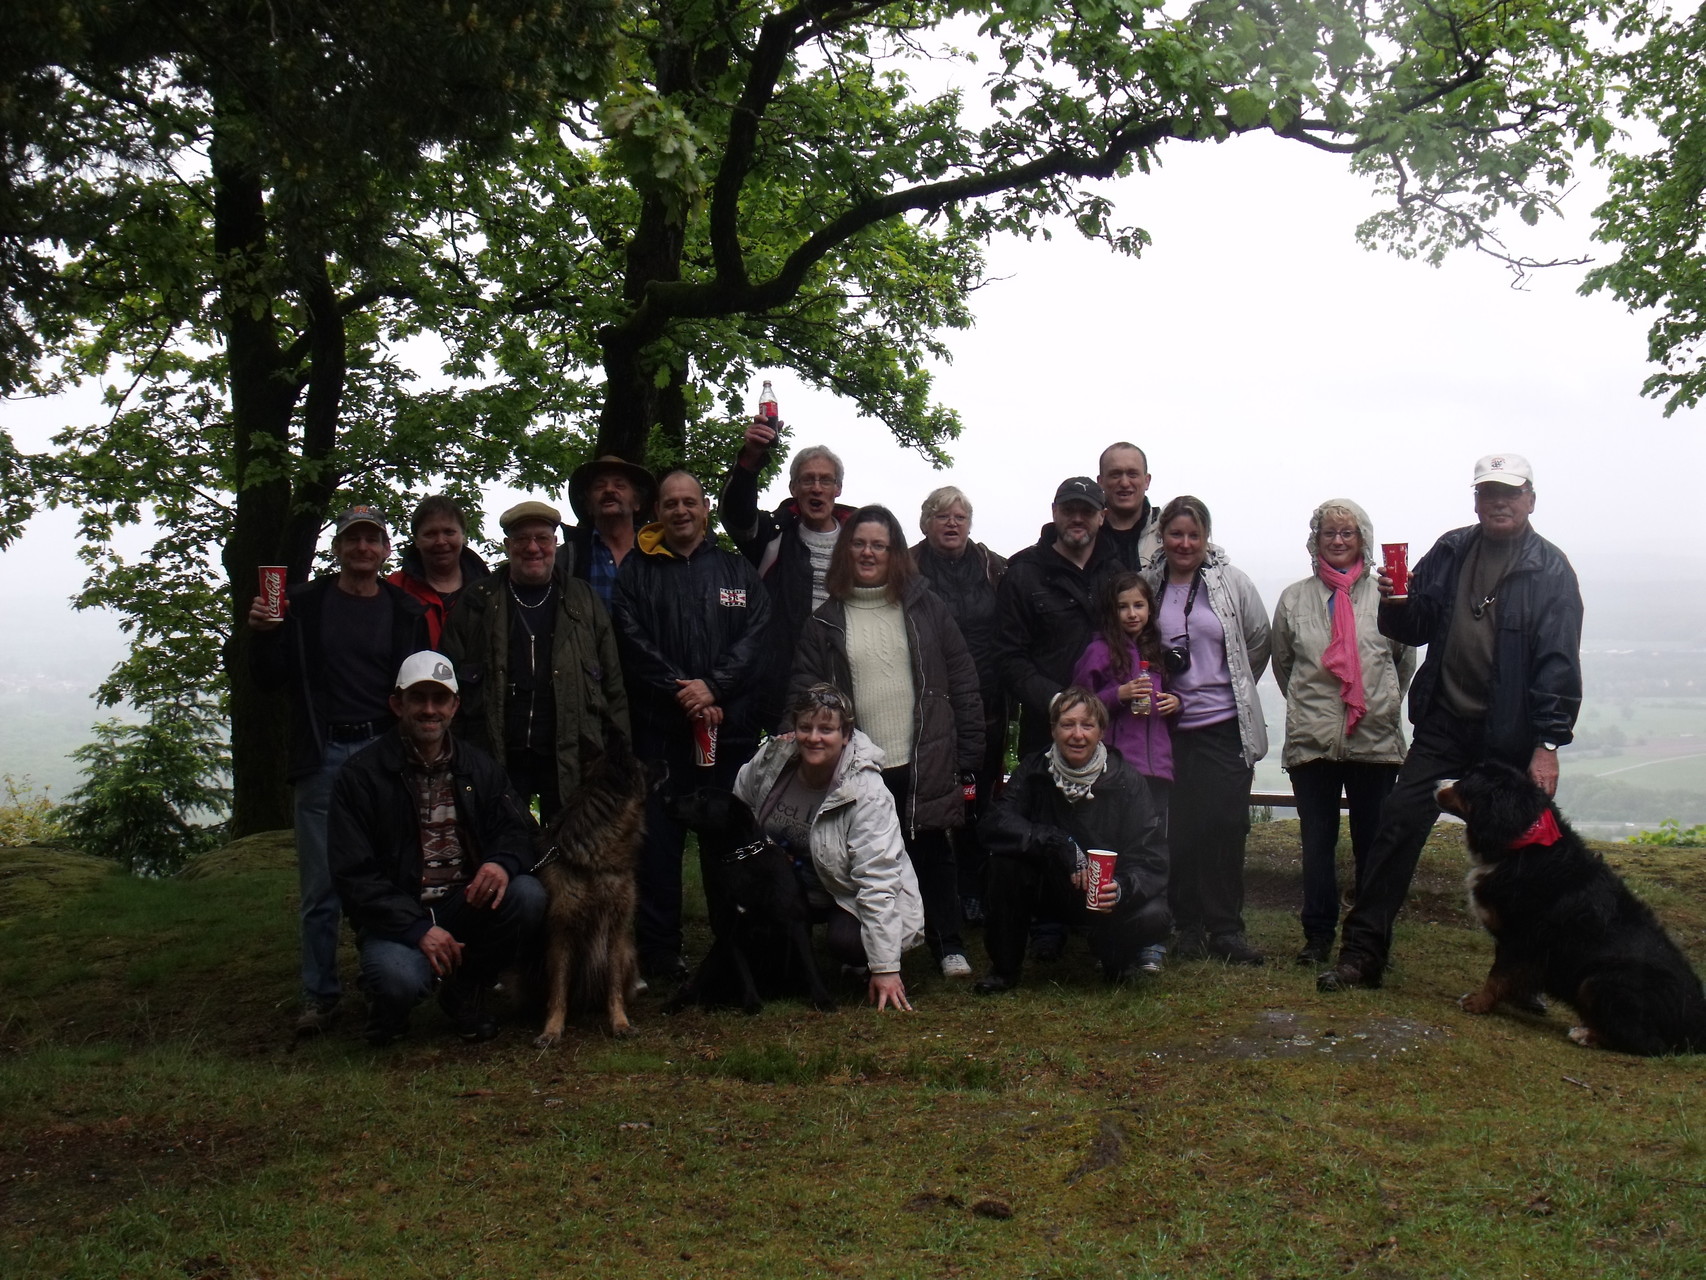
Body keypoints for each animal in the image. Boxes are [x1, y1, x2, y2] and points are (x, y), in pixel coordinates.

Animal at [532, 727, 644, 1044]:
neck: (595, 859)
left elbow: (613, 985)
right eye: (642, 764)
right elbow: (558, 989)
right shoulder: (561, 930)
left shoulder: (617, 928)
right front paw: (551, 1029)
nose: (666, 764)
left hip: (629, 951)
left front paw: (620, 1023)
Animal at [658, 788, 832, 1017]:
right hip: (716, 957)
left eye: (702, 797)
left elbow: (810, 966)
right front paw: (752, 1003)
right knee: (697, 992)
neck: (737, 858)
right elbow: (743, 972)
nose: (666, 798)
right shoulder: (729, 931)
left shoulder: (796, 924)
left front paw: (823, 999)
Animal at [1439, 768, 1706, 1058]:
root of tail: (1696, 1023)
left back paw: (1587, 1035)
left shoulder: (1521, 939)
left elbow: (1497, 976)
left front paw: (1478, 1003)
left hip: (1601, 980)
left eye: (1467, 780)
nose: (1437, 782)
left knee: (1647, 1043)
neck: (1521, 844)